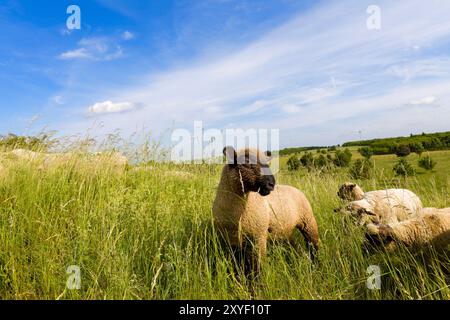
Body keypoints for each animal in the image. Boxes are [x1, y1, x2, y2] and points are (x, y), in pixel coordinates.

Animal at [213, 146, 318, 274]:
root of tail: (296, 189)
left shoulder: (258, 237)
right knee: (294, 245)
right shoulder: (230, 241)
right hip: (285, 231)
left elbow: (257, 265)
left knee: (313, 245)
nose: (271, 184)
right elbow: (235, 266)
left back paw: (315, 265)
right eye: (247, 161)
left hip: (308, 221)